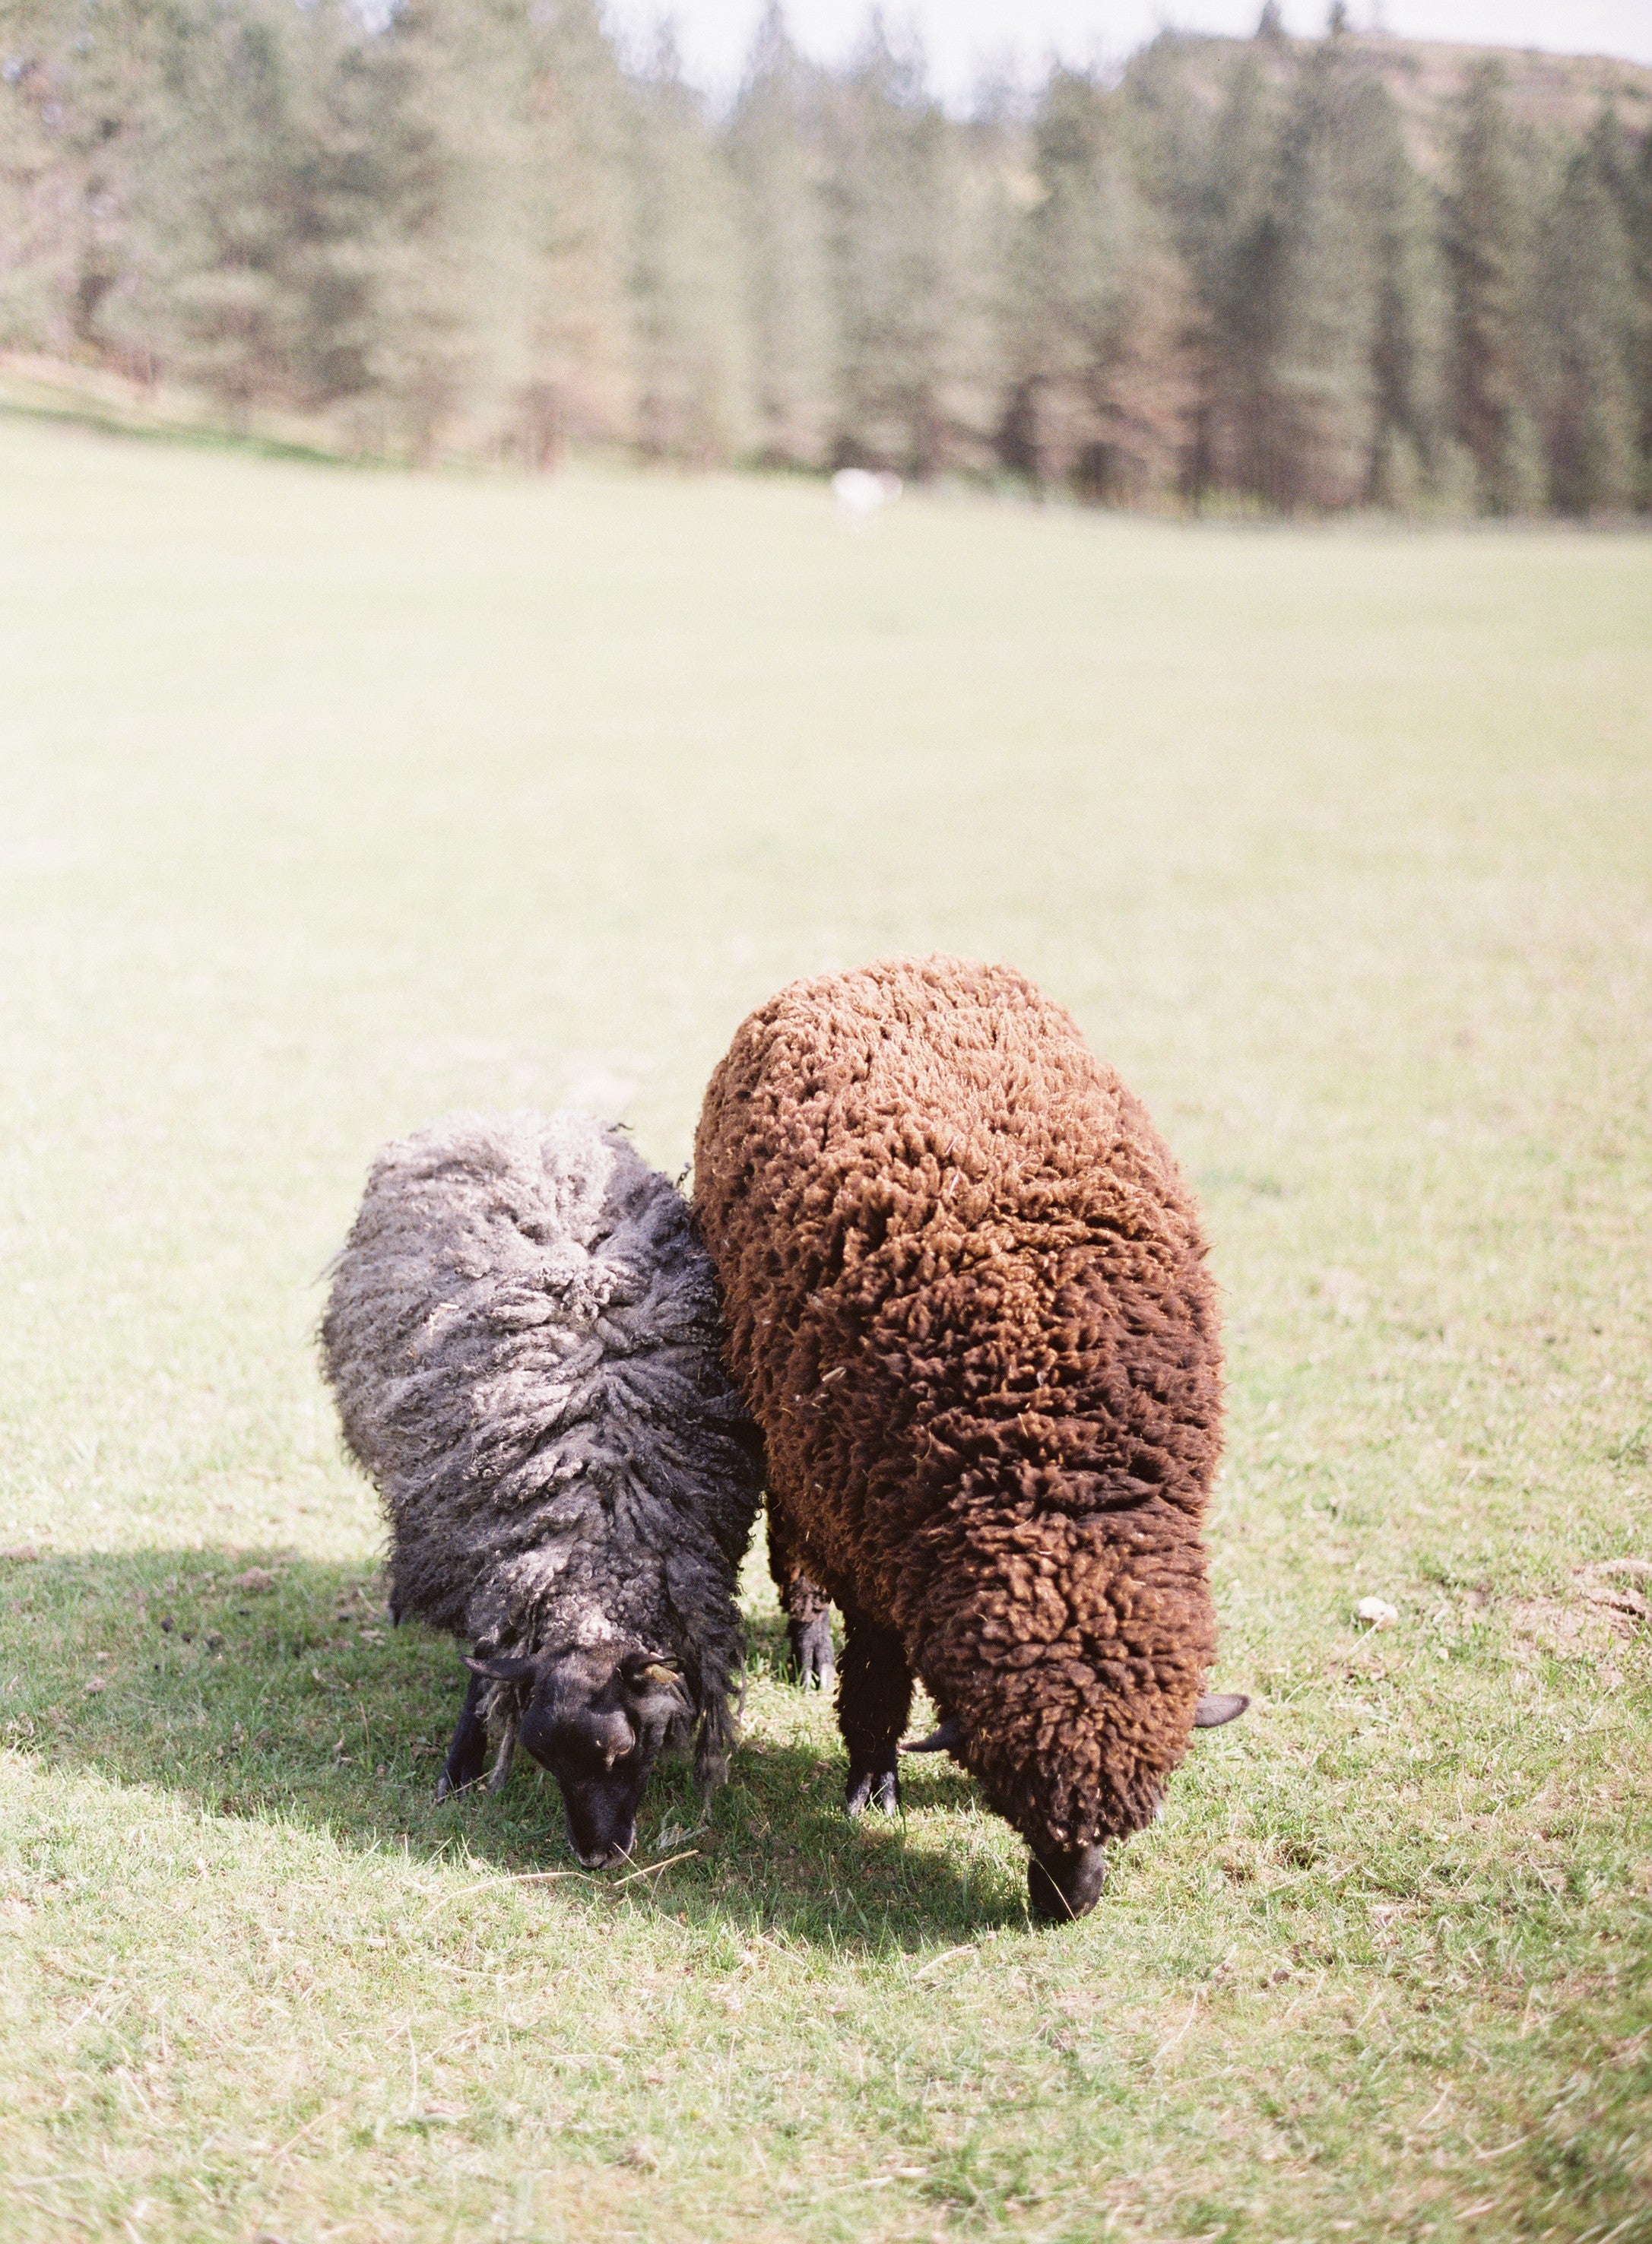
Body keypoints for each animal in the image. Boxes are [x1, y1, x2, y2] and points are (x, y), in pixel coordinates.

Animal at [320, 1110, 762, 1869]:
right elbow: (485, 1664)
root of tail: (501, 1117)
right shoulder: (494, 1548)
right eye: (546, 1761)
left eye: (621, 1755)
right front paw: (459, 1766)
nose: (594, 1859)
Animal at [693, 956, 1247, 1923]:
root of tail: (879, 963)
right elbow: (877, 1677)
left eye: (1137, 1812)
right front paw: (871, 1781)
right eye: (1015, 1797)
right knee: (792, 1542)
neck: (1057, 1463)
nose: (1069, 1906)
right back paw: (808, 1643)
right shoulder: (868, 1534)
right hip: (782, 1429)